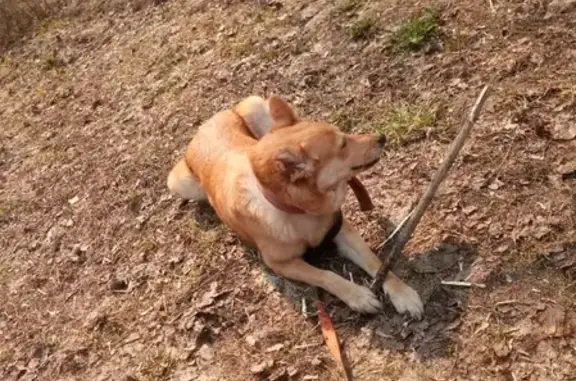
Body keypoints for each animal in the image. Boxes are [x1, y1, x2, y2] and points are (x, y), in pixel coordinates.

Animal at [166, 96, 424, 316]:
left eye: (344, 134)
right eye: (342, 144)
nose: (381, 137)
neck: (298, 211)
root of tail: (203, 126)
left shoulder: (342, 230)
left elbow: (376, 262)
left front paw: (402, 294)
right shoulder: (281, 264)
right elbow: (325, 275)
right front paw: (357, 296)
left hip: (257, 108)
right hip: (179, 183)